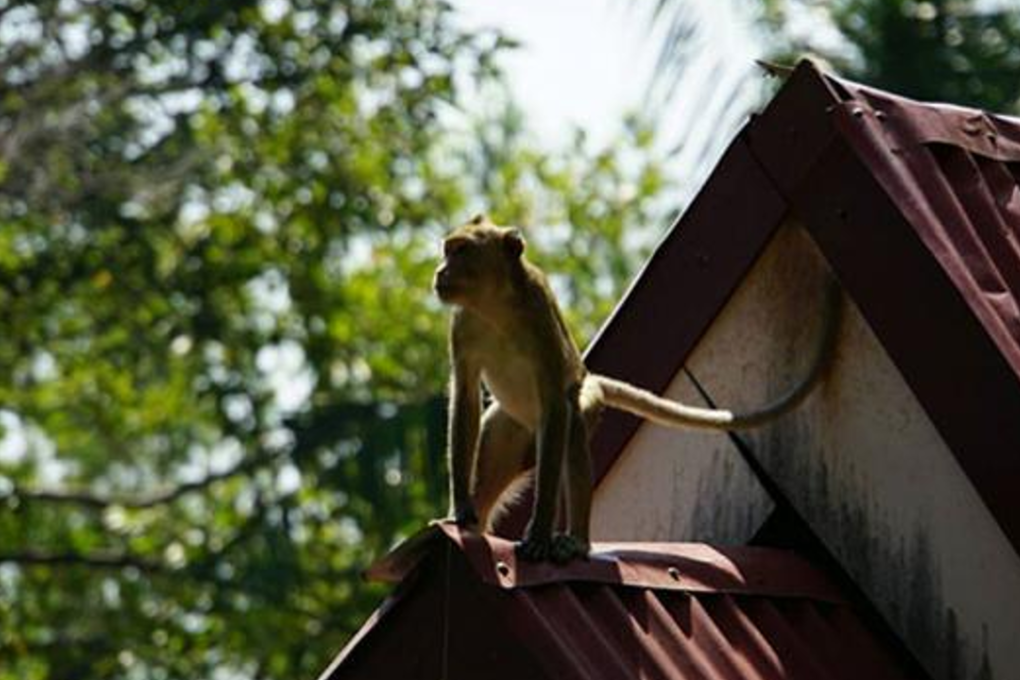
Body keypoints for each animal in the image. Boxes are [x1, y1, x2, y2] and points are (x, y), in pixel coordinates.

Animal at [433, 215, 841, 563]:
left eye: (460, 251)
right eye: (448, 249)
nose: (440, 271)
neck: (495, 306)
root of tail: (591, 378)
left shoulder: (538, 315)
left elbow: (554, 404)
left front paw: (539, 533)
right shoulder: (462, 324)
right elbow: (466, 395)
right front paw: (461, 508)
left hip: (584, 400)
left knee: (571, 426)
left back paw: (577, 541)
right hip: (512, 425)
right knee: (498, 448)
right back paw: (480, 522)